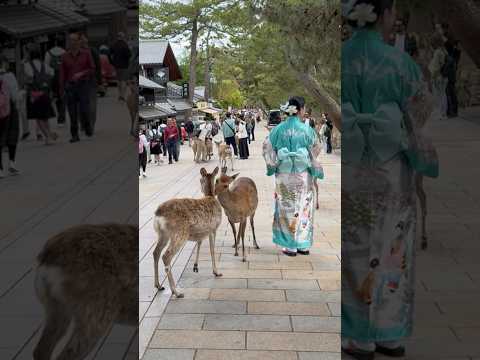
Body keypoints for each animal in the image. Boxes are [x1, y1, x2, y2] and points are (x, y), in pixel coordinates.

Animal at [153, 167, 222, 296]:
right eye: (200, 179)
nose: (200, 188)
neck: (211, 197)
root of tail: (158, 214)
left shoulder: (202, 232)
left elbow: (199, 243)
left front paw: (196, 267)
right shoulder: (213, 228)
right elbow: (212, 250)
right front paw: (216, 272)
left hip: (163, 234)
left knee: (156, 252)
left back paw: (158, 285)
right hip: (180, 233)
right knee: (166, 255)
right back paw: (176, 292)